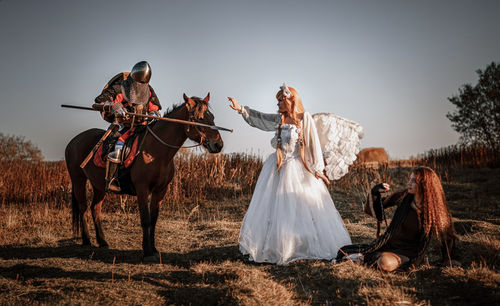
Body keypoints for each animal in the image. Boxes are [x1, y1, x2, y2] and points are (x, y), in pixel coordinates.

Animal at [64, 93, 223, 260]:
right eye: (199, 118)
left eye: (212, 117)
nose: (218, 144)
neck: (156, 152)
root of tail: (74, 140)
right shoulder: (142, 189)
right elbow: (145, 219)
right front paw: (146, 250)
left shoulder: (160, 190)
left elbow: (153, 219)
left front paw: (153, 248)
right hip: (78, 179)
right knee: (83, 207)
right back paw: (87, 240)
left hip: (99, 185)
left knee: (95, 208)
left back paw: (102, 241)